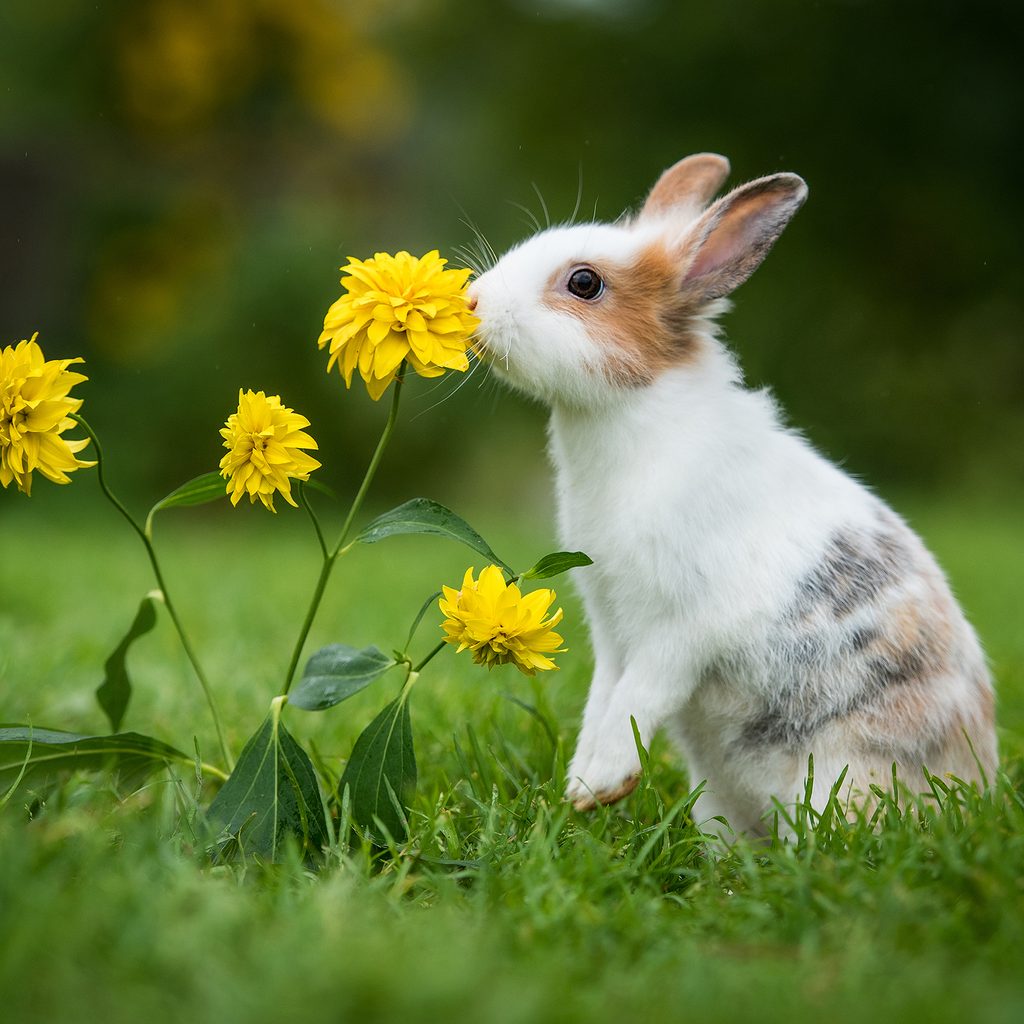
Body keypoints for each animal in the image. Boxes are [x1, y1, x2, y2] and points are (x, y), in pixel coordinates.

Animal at [467, 153, 997, 838]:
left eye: (584, 283)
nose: (473, 302)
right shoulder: (610, 627)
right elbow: (604, 697)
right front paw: (583, 786)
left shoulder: (681, 627)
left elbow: (638, 696)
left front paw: (597, 784)